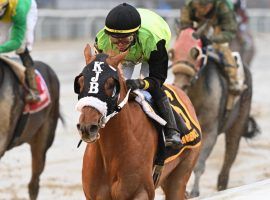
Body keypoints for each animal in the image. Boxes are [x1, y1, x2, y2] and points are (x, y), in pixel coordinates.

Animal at [170, 28, 258, 197]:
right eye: (173, 52)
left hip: (238, 122)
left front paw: (194, 192)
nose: (180, 84)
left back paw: (222, 185)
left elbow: (199, 163)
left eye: (195, 53)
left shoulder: (210, 130)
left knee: (229, 156)